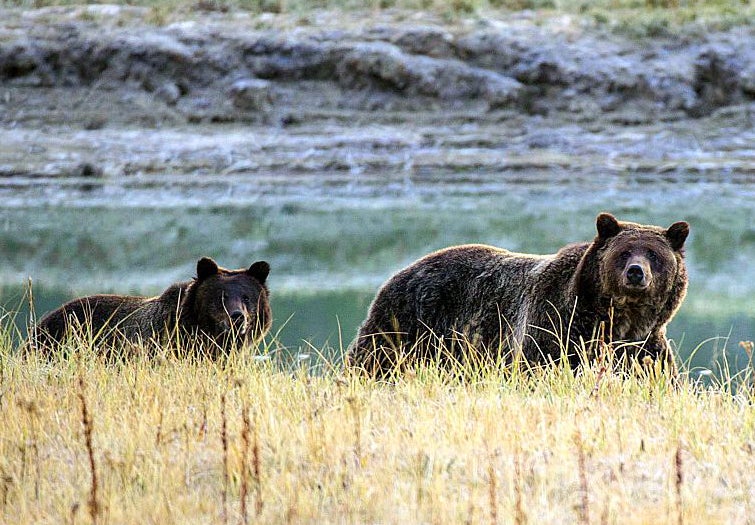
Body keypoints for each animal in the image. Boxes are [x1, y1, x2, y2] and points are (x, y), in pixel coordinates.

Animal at [348, 211, 692, 374]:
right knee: (374, 359)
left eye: (654, 255)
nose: (636, 272)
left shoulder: (644, 347)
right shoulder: (554, 328)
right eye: (624, 252)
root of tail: (399, 272)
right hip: (408, 323)